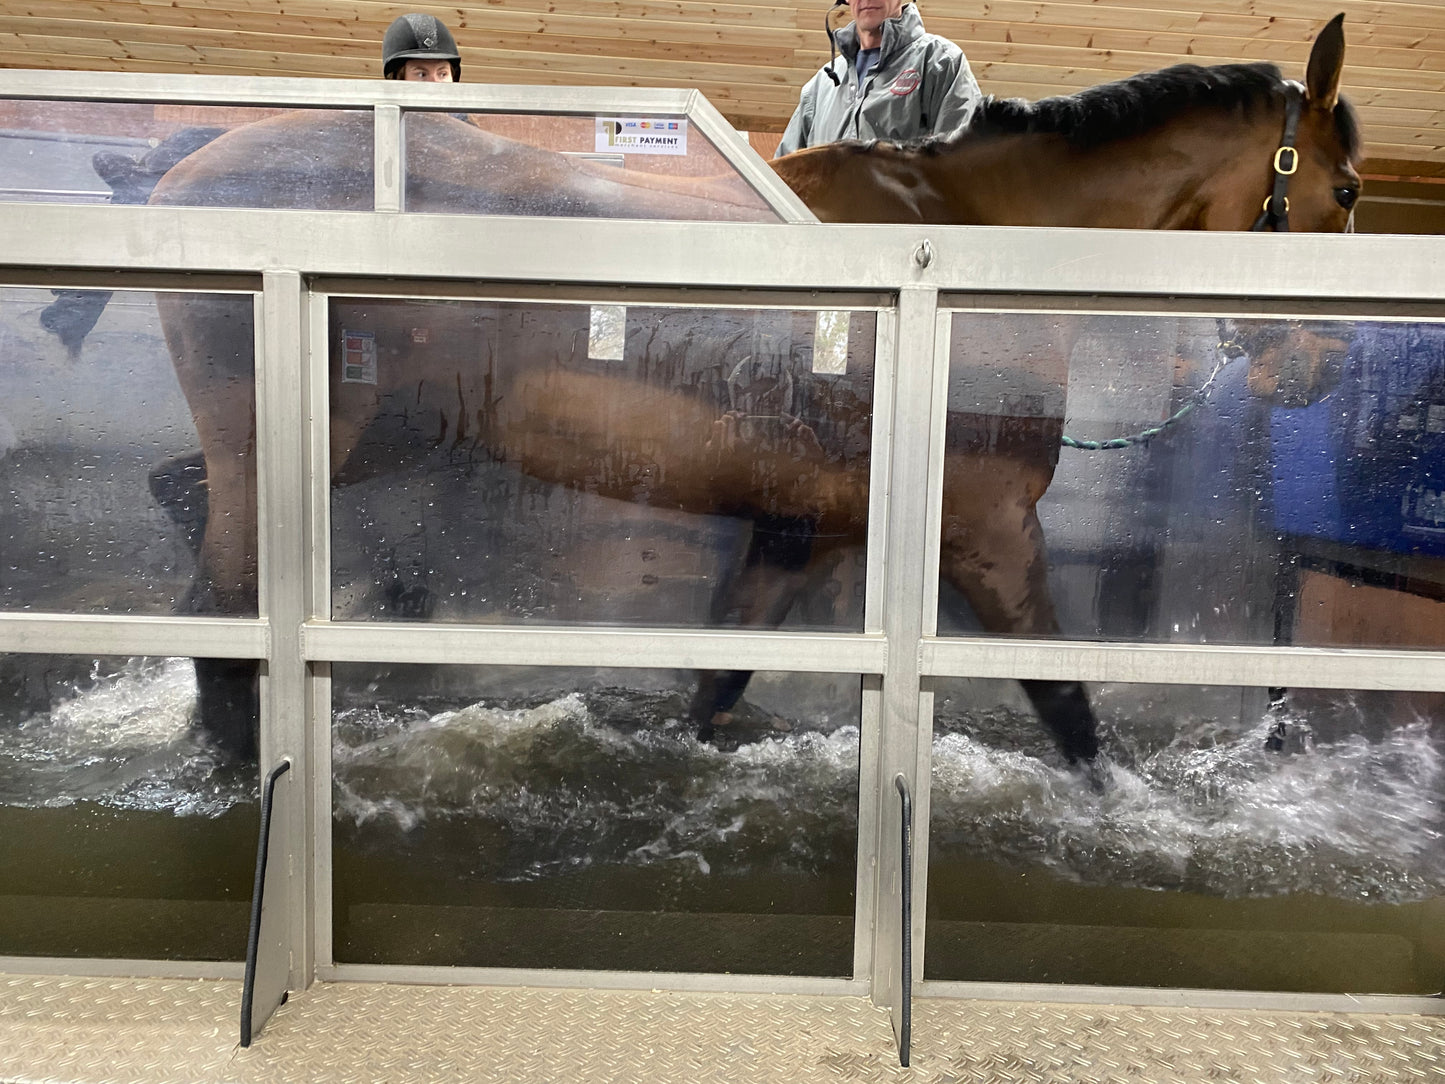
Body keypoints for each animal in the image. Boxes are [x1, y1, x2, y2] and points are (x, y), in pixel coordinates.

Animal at [140, 14, 1358, 763]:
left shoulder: (800, 530)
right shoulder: (989, 529)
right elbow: (1068, 712)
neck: (955, 258)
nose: (1318, 368)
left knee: (182, 500)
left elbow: (717, 680)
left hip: (374, 440)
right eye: (1344, 190)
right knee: (221, 605)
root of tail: (190, 171)